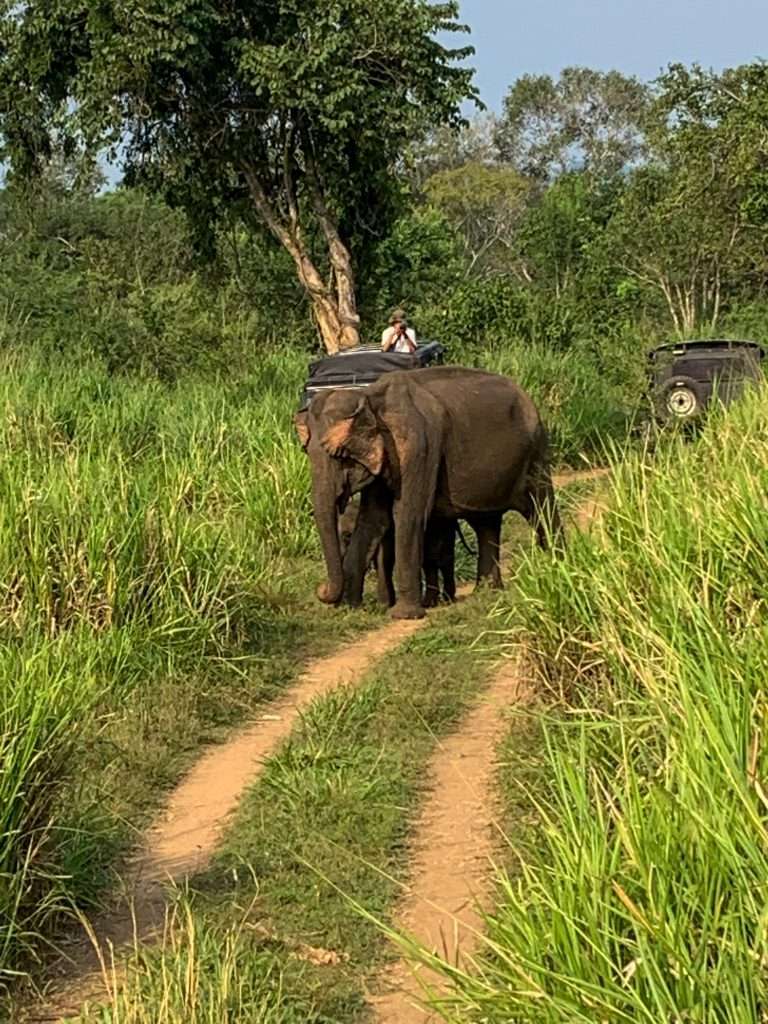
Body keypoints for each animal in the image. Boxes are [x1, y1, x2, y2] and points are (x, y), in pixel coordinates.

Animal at [294, 366, 562, 620]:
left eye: (340, 456)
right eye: (307, 453)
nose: (320, 589)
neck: (368, 395)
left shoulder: (418, 448)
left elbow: (408, 515)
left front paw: (404, 615)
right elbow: (373, 520)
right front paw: (351, 608)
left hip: (535, 455)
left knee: (541, 510)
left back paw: (557, 569)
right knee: (486, 523)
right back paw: (488, 592)